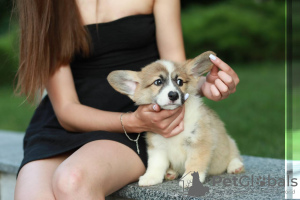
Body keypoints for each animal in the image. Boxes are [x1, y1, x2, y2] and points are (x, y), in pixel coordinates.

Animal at [107, 50, 244, 188]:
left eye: (180, 82)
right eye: (158, 82)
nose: (173, 95)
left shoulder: (199, 142)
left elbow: (194, 163)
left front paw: (189, 179)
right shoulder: (157, 147)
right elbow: (155, 164)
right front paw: (150, 177)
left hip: (229, 142)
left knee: (234, 154)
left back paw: (235, 166)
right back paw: (170, 173)